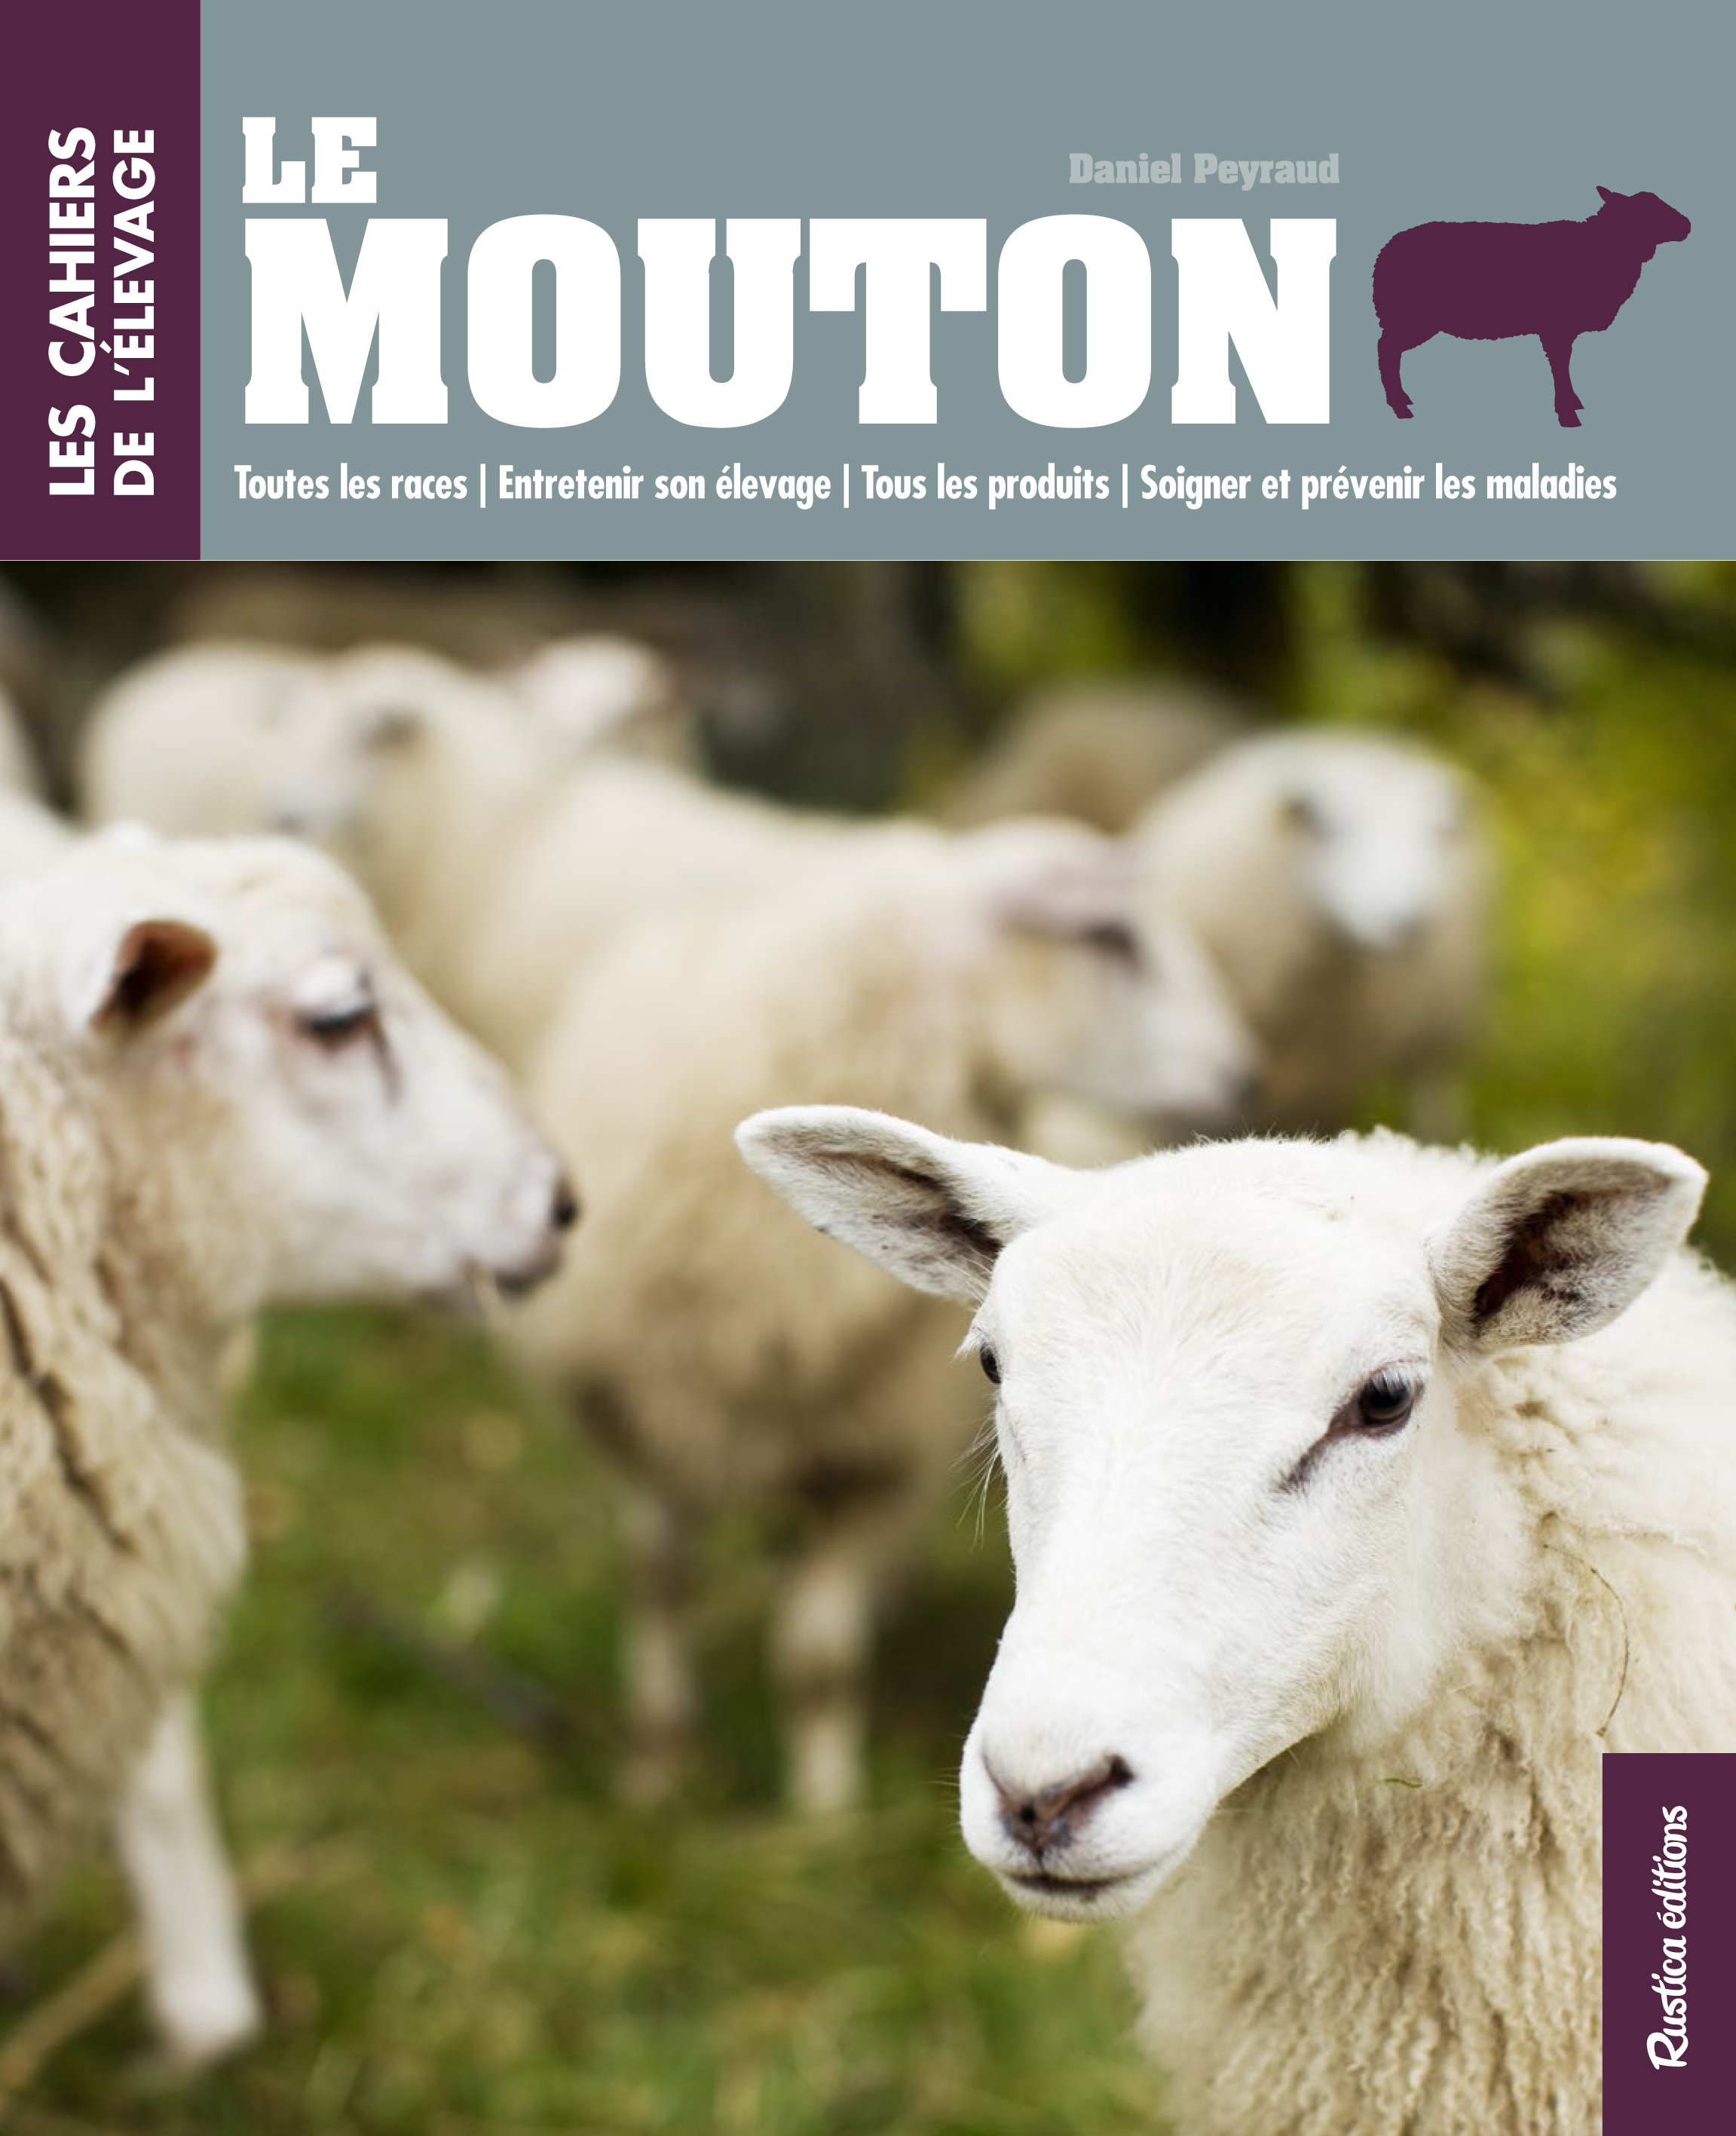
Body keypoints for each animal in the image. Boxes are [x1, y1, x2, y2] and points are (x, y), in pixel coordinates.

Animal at [507, 821, 1257, 1813]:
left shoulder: (872, 1457)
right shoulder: (654, 1422)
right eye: (1113, 937)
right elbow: (660, 1584)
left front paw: (823, 1807)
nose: (1242, 1074)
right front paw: (658, 1767)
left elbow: (818, 1651)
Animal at [1375, 185, 1691, 427]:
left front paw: (1573, 403)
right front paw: (1567, 414)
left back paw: (1402, 400)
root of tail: (1387, 249)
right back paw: (1400, 408)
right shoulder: (1556, 327)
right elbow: (1561, 366)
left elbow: (1564, 364)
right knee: (1386, 349)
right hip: (1412, 316)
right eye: (1646, 211)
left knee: (1391, 351)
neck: (1600, 249)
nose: (1688, 225)